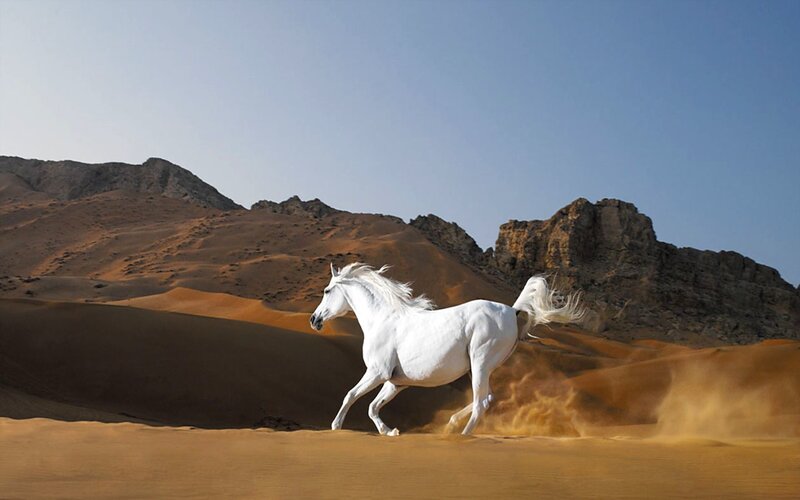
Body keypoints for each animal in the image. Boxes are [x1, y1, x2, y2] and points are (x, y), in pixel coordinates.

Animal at [309, 262, 585, 436]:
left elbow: (351, 396)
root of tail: (512, 310)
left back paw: (460, 434)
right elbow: (373, 407)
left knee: (481, 403)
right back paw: (451, 425)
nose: (314, 320)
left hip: (481, 362)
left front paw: (336, 426)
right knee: (486, 398)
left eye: (327, 290)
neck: (382, 319)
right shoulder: (396, 382)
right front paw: (390, 431)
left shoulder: (377, 372)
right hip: (478, 368)